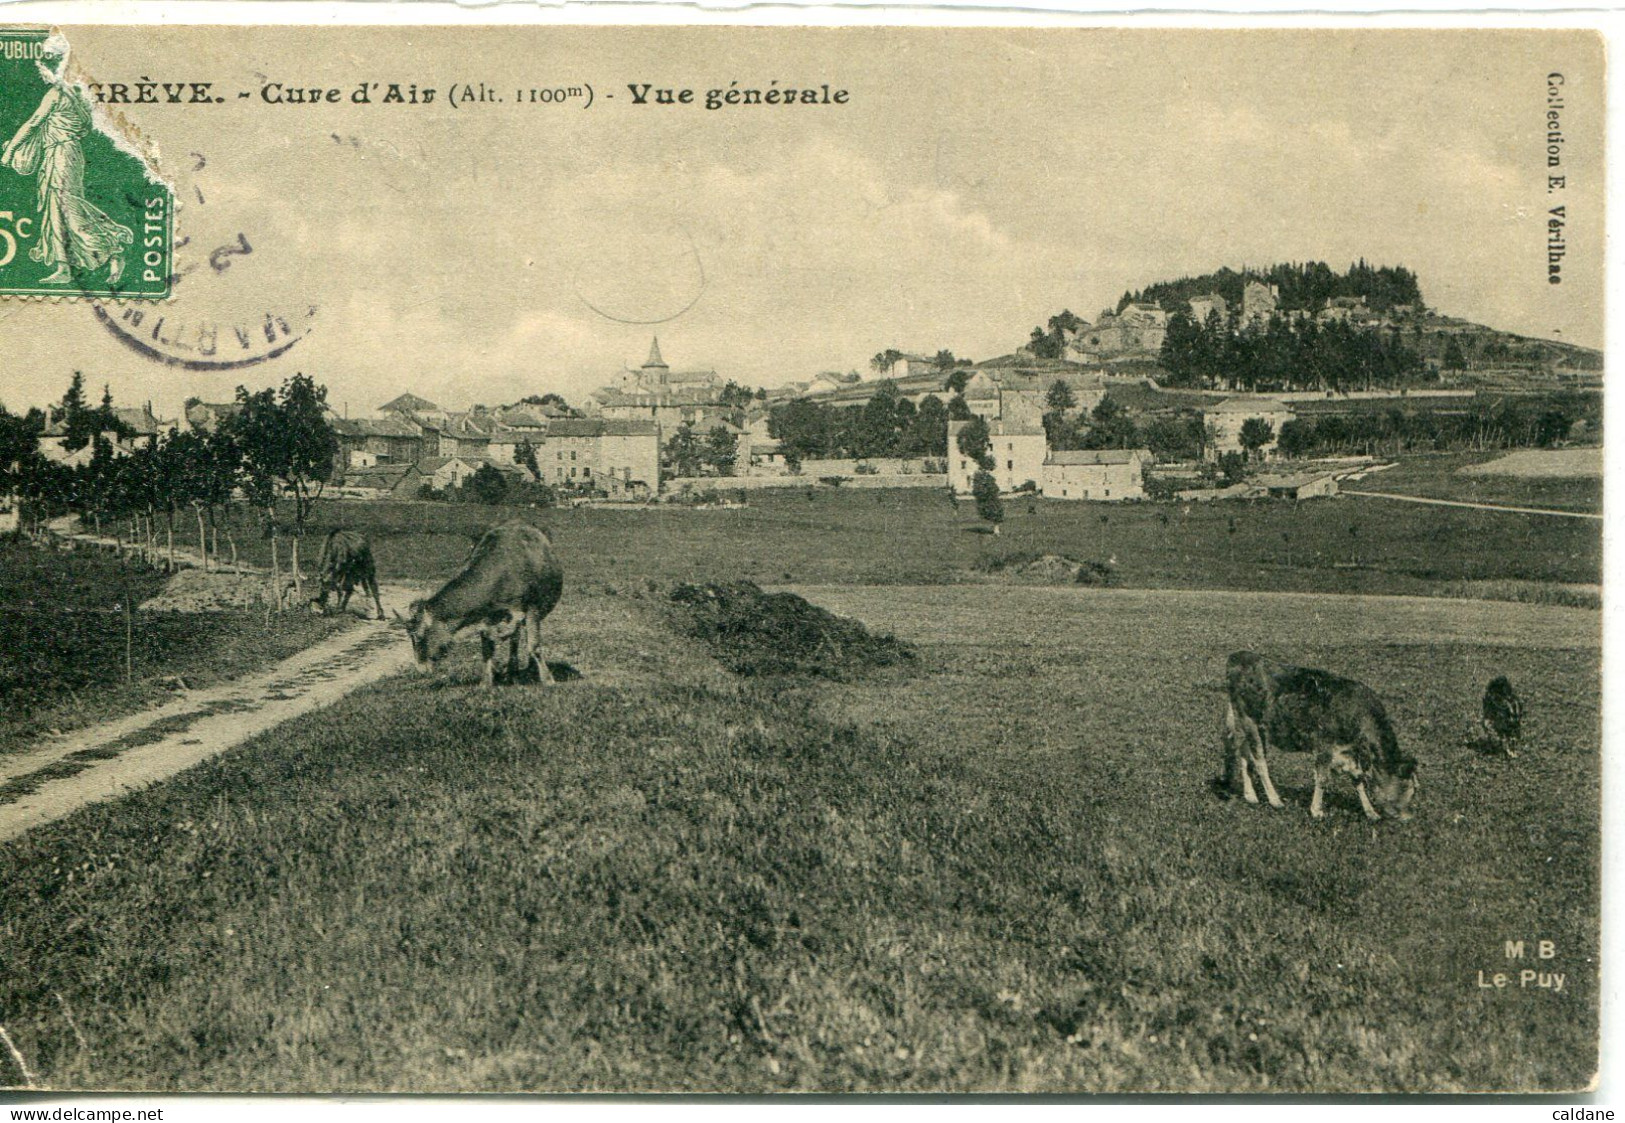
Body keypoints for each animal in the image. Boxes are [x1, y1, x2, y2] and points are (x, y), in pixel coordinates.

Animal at [401, 523, 565, 689]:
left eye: (418, 635)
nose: (420, 669)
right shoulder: (485, 615)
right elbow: (487, 648)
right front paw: (485, 683)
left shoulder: (532, 608)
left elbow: (534, 646)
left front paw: (548, 680)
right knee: (514, 639)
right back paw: (512, 672)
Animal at [1222, 650, 1417, 825]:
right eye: (1410, 788)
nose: (1409, 817)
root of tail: (1239, 655)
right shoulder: (1325, 746)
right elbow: (1322, 779)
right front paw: (1316, 811)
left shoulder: (1349, 753)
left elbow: (1358, 781)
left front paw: (1371, 812)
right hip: (1249, 721)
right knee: (1259, 761)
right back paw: (1275, 800)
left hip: (1246, 725)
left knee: (1244, 755)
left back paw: (1251, 796)